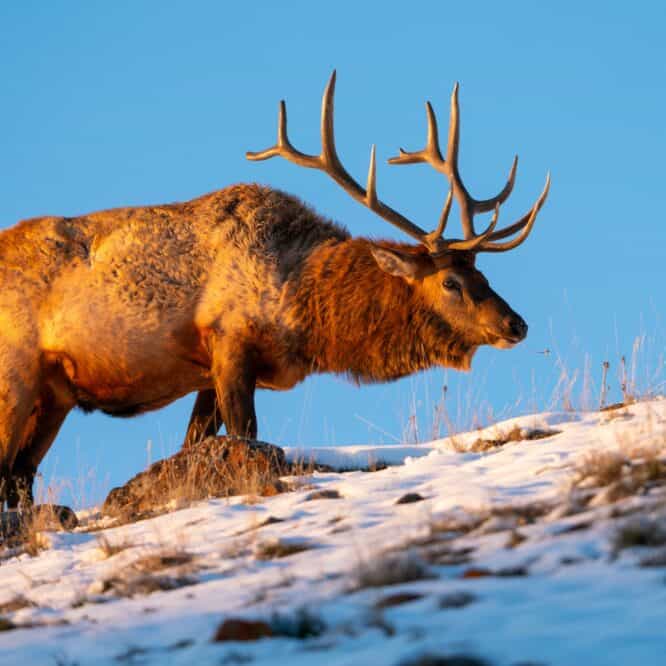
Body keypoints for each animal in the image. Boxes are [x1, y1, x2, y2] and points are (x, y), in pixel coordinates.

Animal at [0, 72, 548, 511]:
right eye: (451, 282)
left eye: (484, 275)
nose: (516, 324)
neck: (301, 308)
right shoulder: (229, 343)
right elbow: (246, 436)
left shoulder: (207, 373)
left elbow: (193, 444)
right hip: (16, 374)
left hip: (55, 394)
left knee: (20, 479)